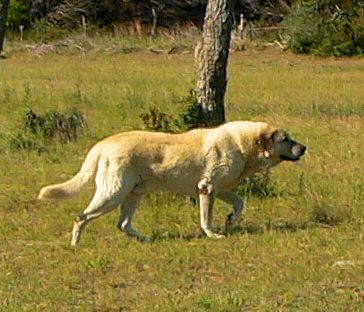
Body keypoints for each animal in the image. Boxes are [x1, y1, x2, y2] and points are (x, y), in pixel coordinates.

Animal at [38, 120, 306, 245]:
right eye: (285, 138)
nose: (304, 147)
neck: (244, 145)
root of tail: (103, 144)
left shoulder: (221, 189)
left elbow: (240, 203)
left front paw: (231, 220)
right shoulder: (207, 189)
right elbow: (206, 218)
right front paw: (213, 235)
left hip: (133, 194)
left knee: (122, 224)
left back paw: (146, 239)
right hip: (113, 194)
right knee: (81, 217)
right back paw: (75, 244)